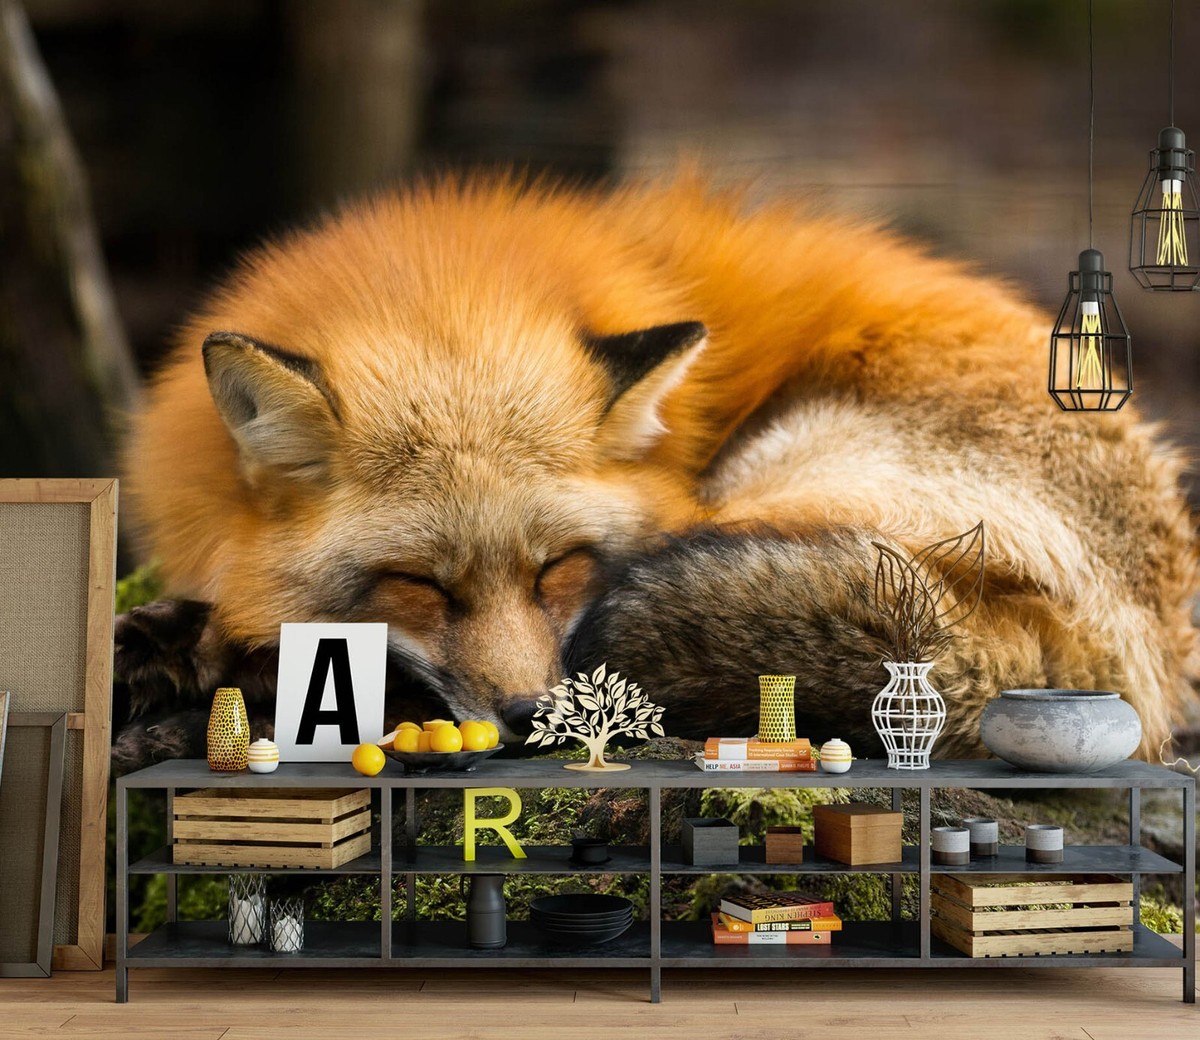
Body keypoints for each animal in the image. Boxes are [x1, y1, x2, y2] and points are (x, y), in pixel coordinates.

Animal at [115, 172, 1199, 770]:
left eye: (559, 568)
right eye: (419, 583)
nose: (532, 718)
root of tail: (1138, 656)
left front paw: (205, 655)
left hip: (785, 486)